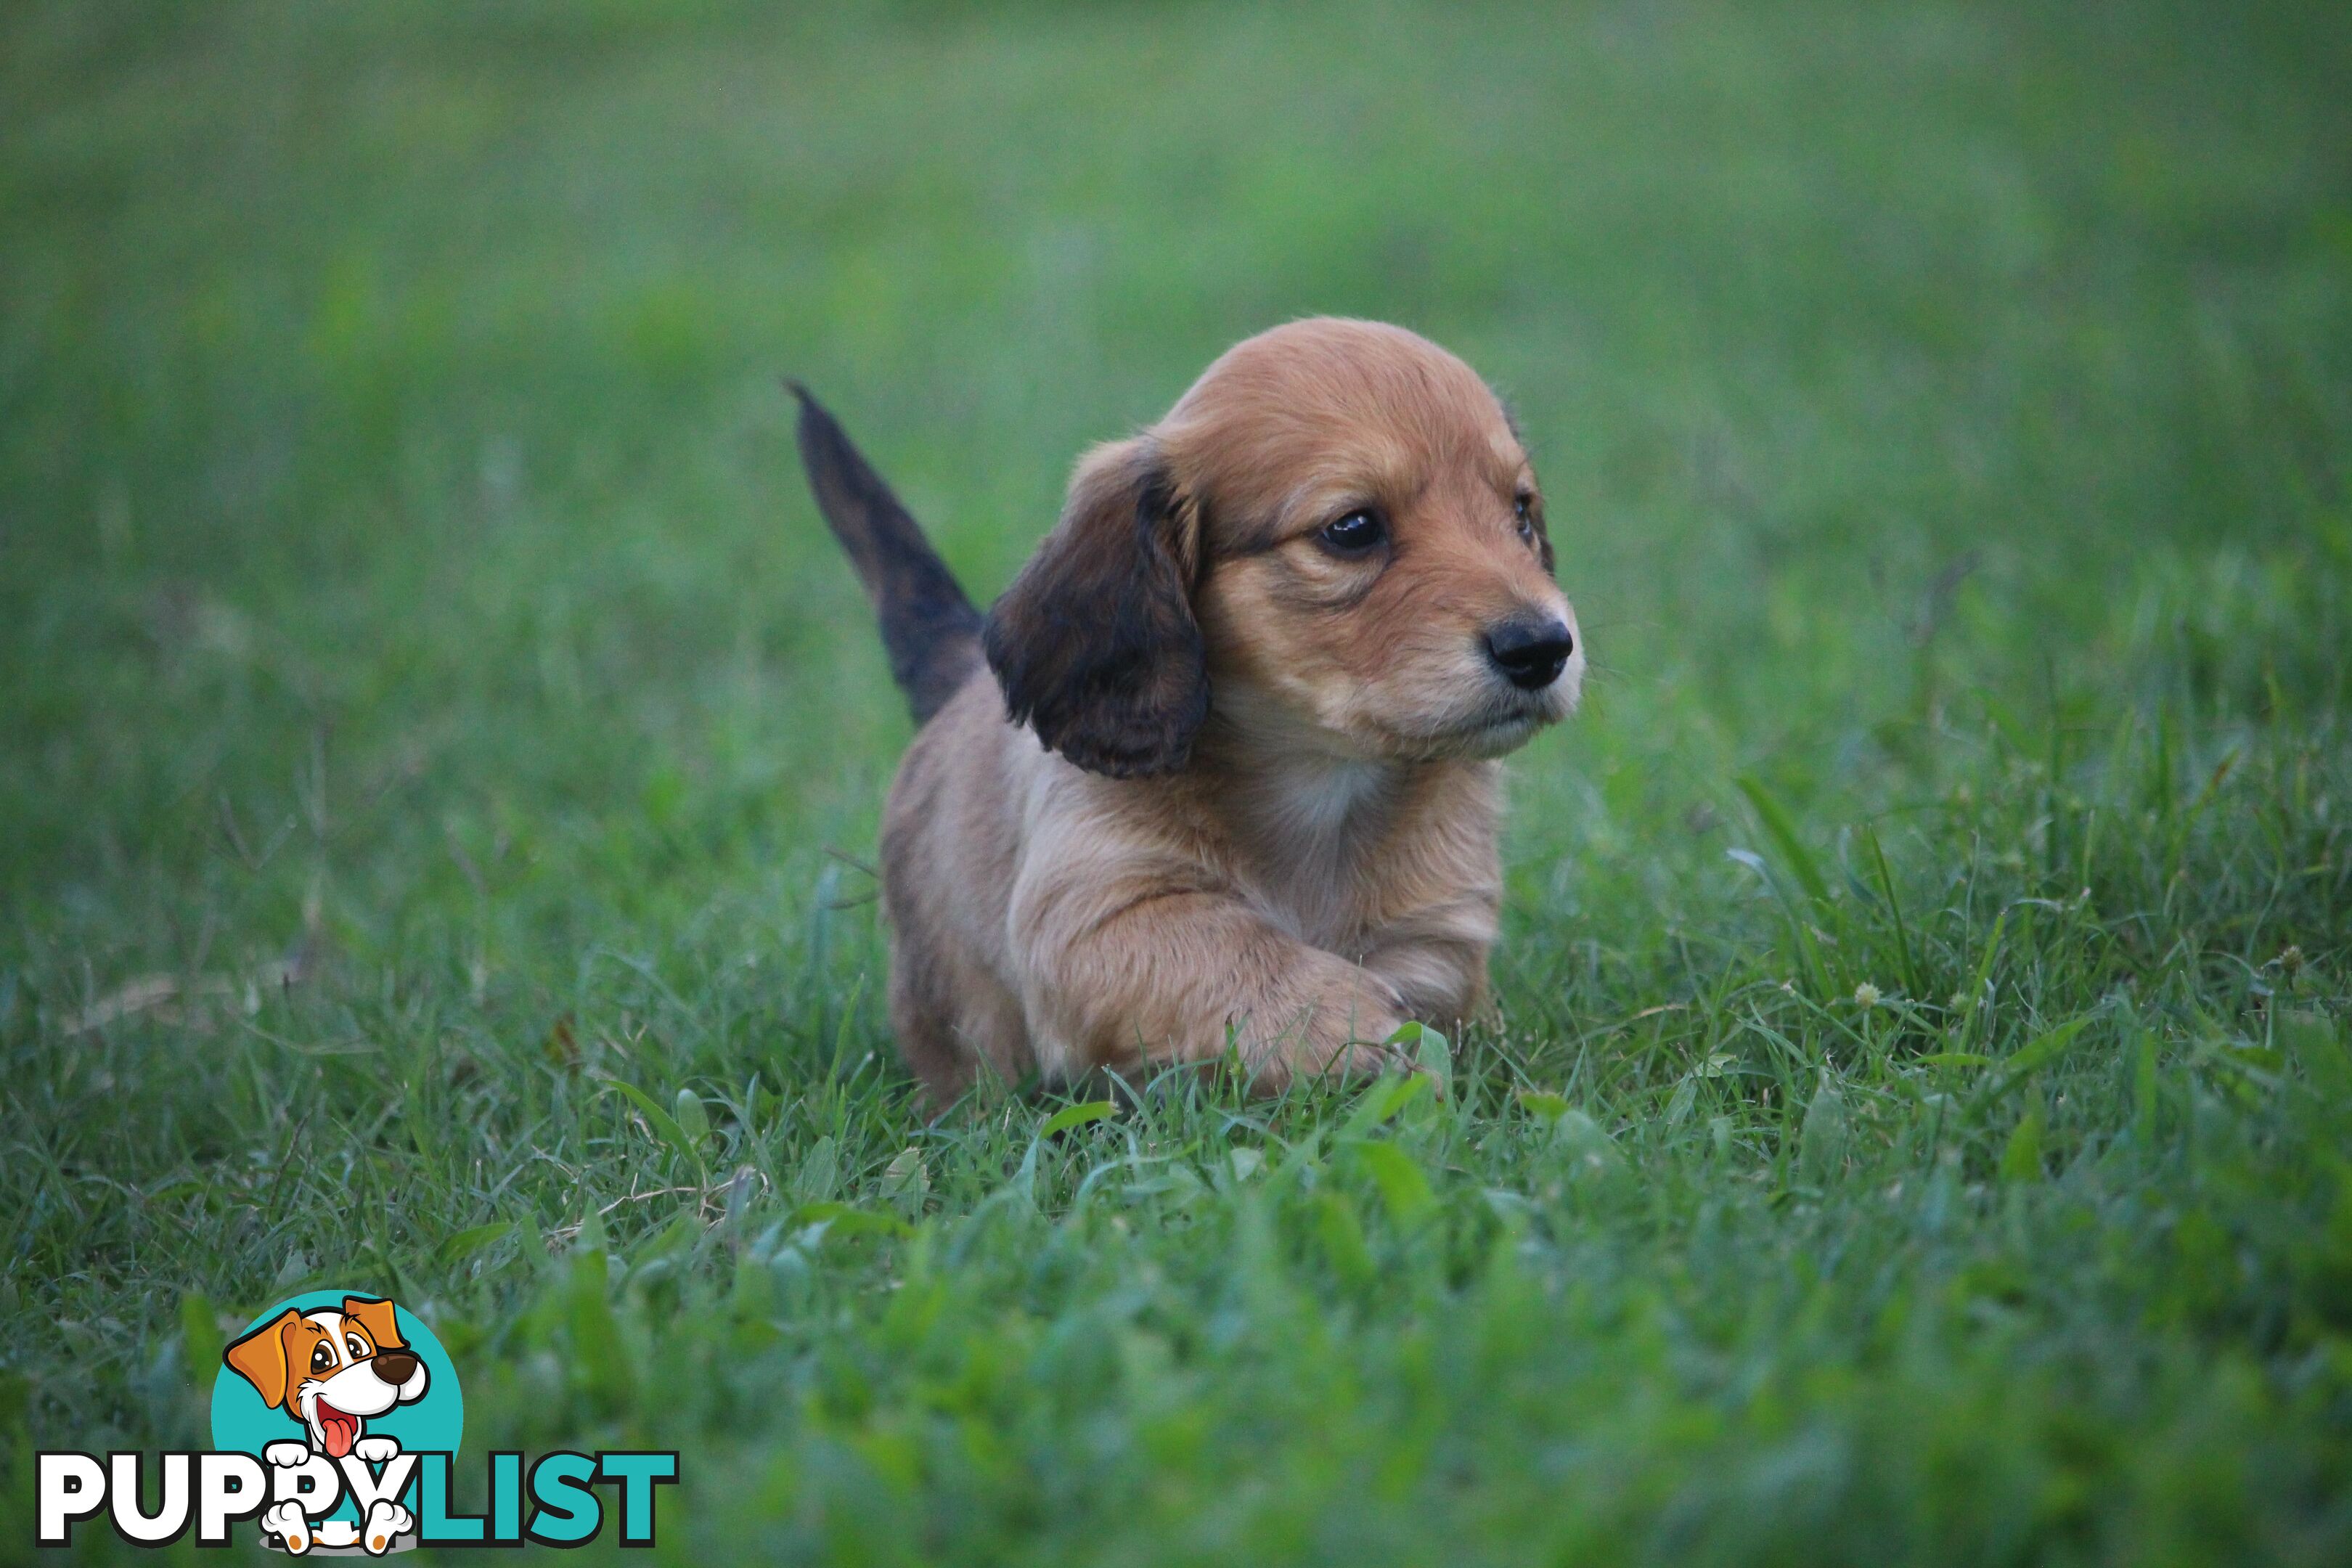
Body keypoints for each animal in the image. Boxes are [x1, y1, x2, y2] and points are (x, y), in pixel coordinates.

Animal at [799, 319, 1590, 1105]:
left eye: (1520, 511)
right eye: (1353, 528)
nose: (1542, 648)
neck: (1320, 785)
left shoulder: (1440, 924)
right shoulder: (1092, 911)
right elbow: (1226, 947)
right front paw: (1346, 1023)